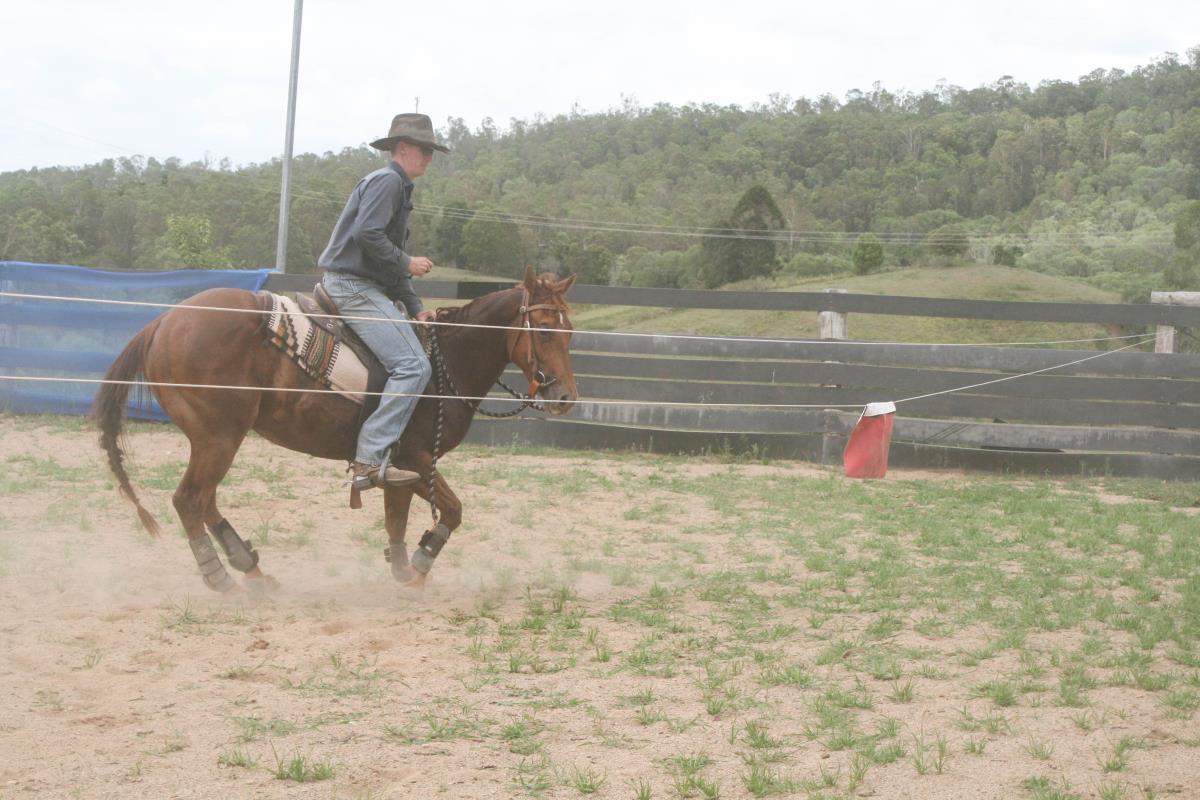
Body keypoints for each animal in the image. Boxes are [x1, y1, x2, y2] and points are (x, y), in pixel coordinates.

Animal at [93, 266, 579, 592]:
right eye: (545, 332)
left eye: (570, 330)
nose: (566, 397)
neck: (445, 361)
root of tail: (162, 322)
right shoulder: (416, 458)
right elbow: (453, 511)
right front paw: (421, 563)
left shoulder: (399, 467)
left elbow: (396, 520)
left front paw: (403, 569)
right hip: (218, 437)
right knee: (190, 499)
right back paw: (220, 579)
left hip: (215, 439)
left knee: (205, 500)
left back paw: (251, 569)